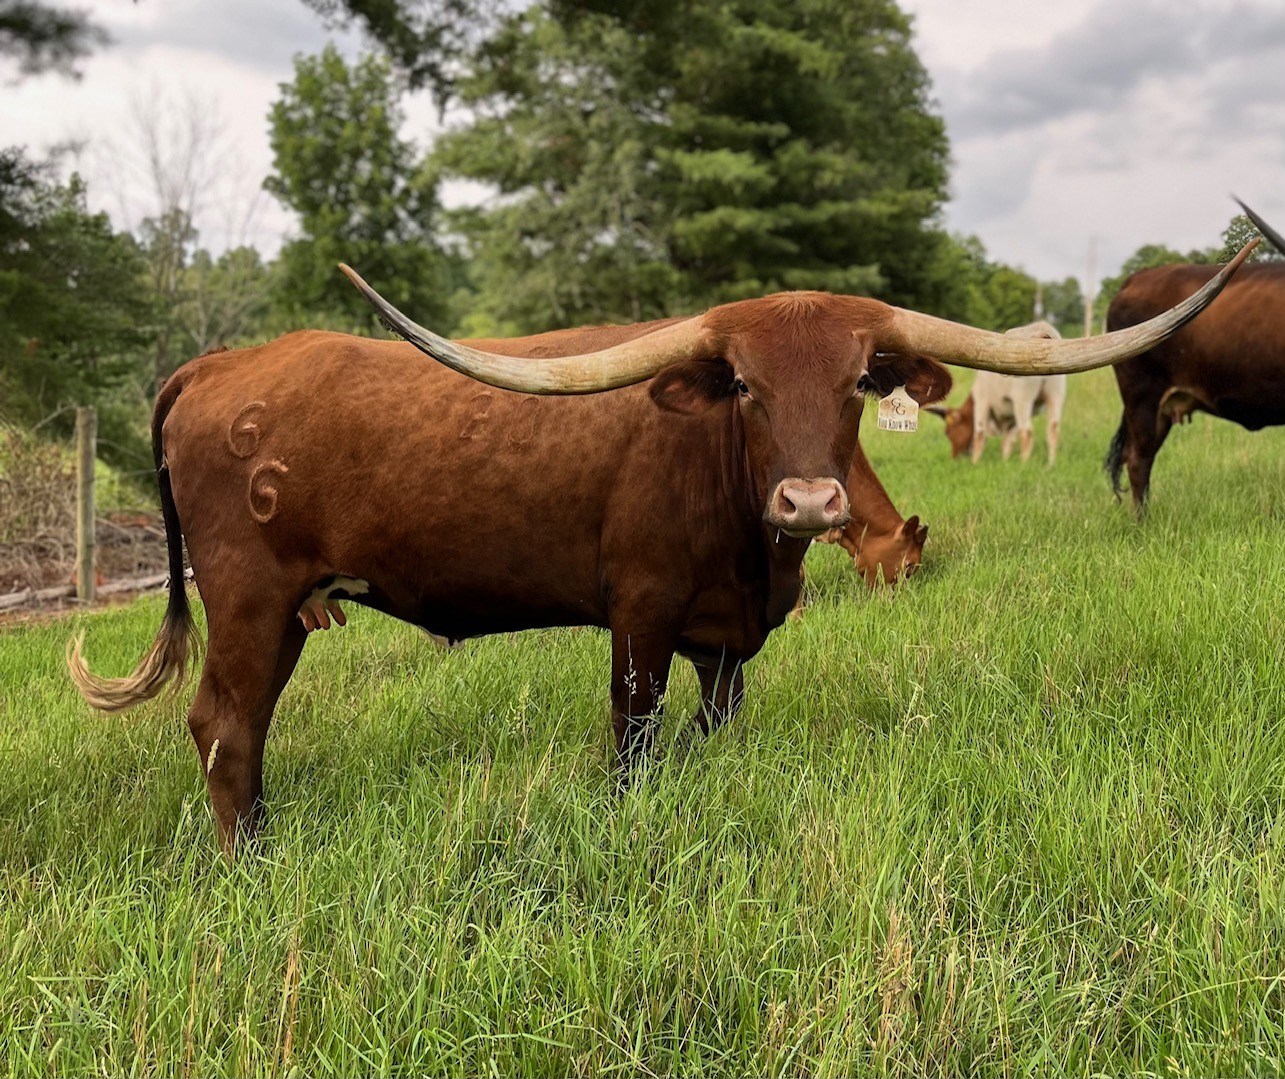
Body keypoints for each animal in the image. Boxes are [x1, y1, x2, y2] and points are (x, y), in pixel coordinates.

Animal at [927, 321, 1067, 464]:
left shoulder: (983, 402)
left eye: (948, 432)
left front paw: (975, 463)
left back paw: (1024, 464)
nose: (954, 458)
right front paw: (1005, 462)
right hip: (1055, 395)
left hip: (1023, 400)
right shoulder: (1010, 416)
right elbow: (1008, 441)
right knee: (1053, 430)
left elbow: (980, 435)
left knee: (1026, 432)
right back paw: (1050, 465)